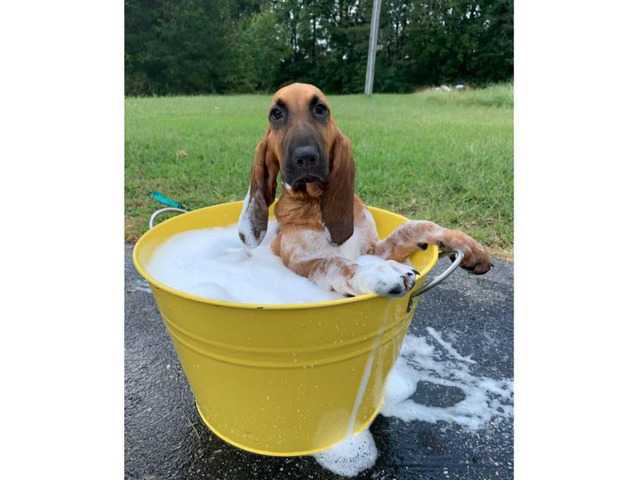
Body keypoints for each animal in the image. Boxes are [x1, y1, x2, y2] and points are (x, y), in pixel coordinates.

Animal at [238, 84, 492, 298]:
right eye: (275, 114)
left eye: (321, 109)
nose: (306, 157)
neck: (315, 202)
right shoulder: (303, 262)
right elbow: (334, 263)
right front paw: (376, 274)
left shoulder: (374, 248)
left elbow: (411, 228)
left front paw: (463, 242)